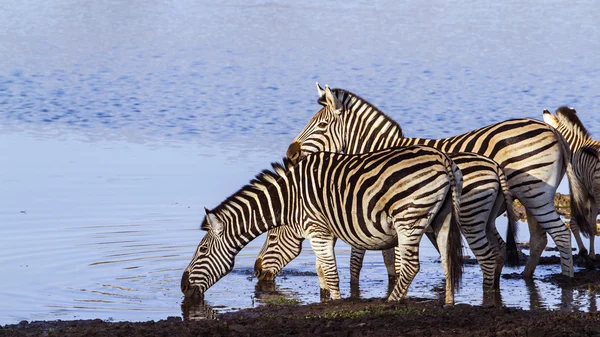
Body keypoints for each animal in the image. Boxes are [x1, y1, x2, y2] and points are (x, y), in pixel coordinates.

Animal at [182, 145, 464, 304]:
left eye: (202, 250)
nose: (183, 287)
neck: (290, 199)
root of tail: (443, 159)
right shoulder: (320, 232)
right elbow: (321, 271)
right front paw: (325, 300)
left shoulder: (317, 229)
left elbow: (330, 273)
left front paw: (335, 304)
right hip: (441, 218)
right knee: (447, 261)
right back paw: (449, 304)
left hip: (408, 219)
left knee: (410, 266)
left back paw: (391, 302)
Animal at [254, 150, 520, 288]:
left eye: (272, 238)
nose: (256, 272)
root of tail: (494, 165)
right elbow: (389, 260)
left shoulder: (358, 224)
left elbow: (356, 262)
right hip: (487, 218)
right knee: (500, 249)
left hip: (470, 215)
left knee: (488, 254)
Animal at [262, 84, 580, 278]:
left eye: (322, 124)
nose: (290, 154)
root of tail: (553, 131)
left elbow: (379, 256)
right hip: (534, 195)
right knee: (540, 237)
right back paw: (526, 277)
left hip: (534, 192)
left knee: (561, 234)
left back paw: (564, 279)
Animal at [544, 107, 600, 258]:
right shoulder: (591, 195)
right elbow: (592, 225)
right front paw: (591, 254)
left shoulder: (581, 189)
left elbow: (576, 222)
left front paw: (585, 251)